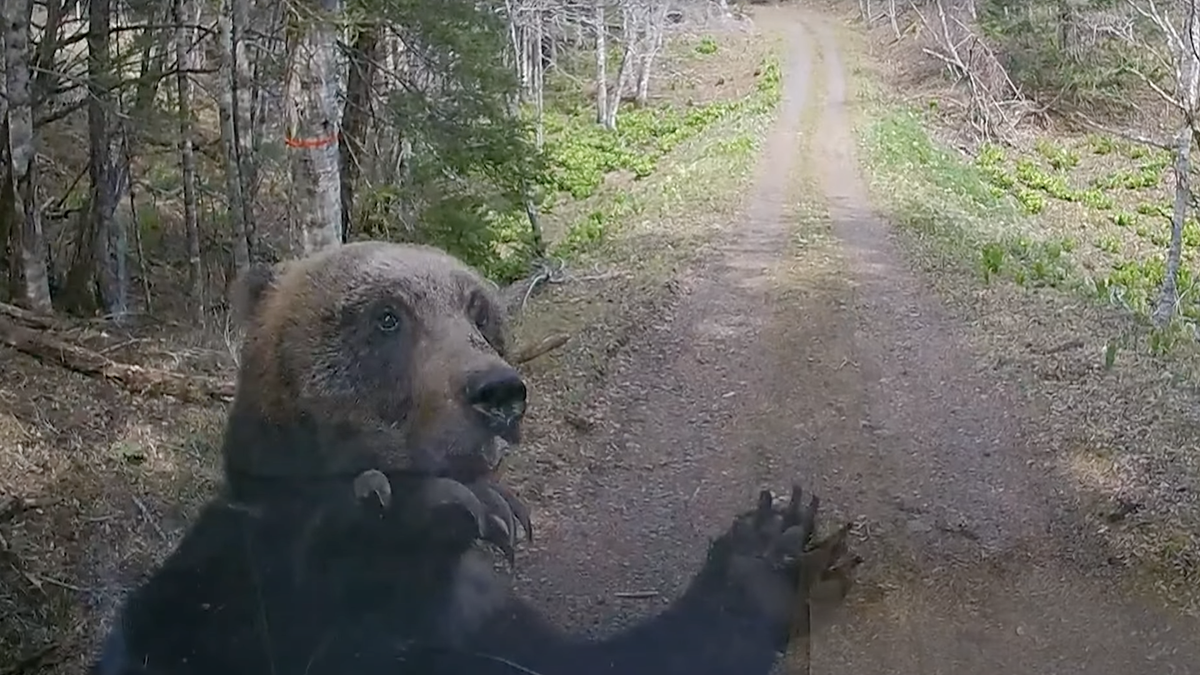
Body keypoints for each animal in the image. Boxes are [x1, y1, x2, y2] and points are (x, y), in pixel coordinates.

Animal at [93, 240, 864, 672]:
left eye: (480, 311)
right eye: (386, 315)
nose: (499, 391)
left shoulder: (483, 616)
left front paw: (772, 542)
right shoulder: (234, 583)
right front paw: (424, 502)